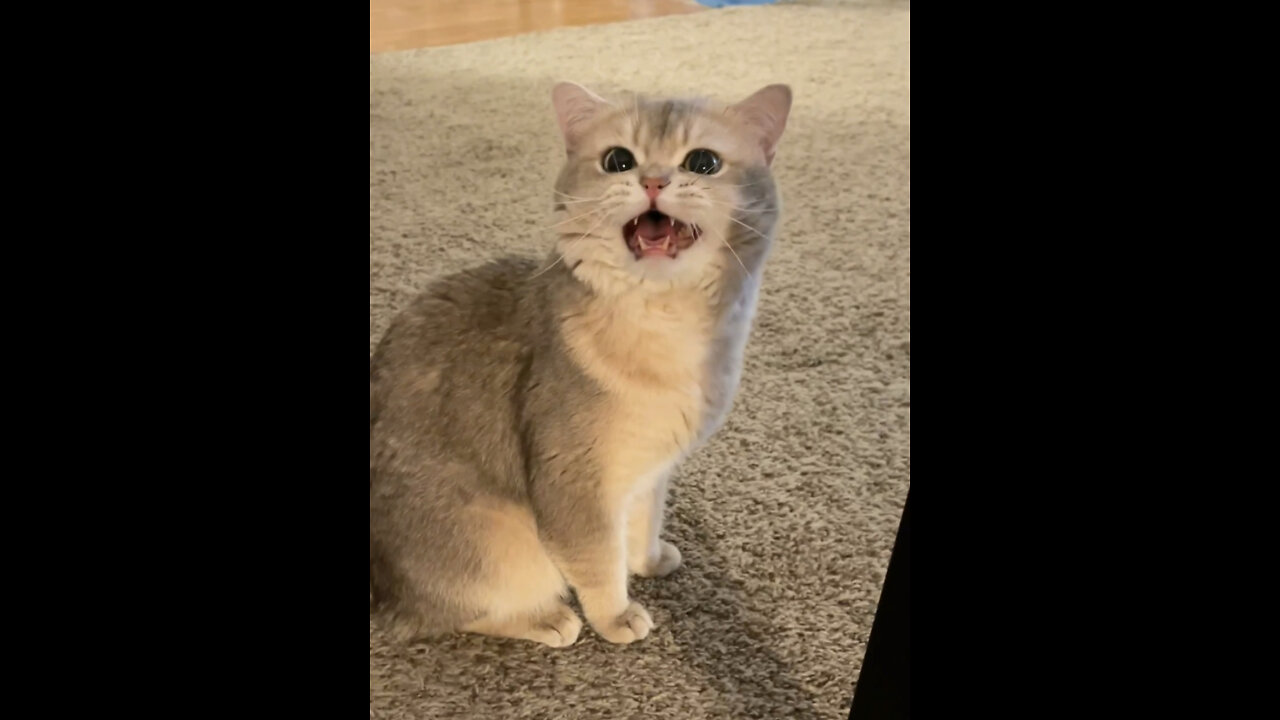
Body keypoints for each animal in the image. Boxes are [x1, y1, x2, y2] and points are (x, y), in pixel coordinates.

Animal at [368, 82, 788, 645]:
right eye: (618, 160)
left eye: (703, 162)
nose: (653, 180)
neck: (667, 328)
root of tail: (382, 591)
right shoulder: (576, 483)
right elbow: (598, 560)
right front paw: (616, 616)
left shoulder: (649, 471)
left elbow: (642, 524)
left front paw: (648, 560)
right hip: (498, 546)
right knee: (451, 613)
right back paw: (545, 618)